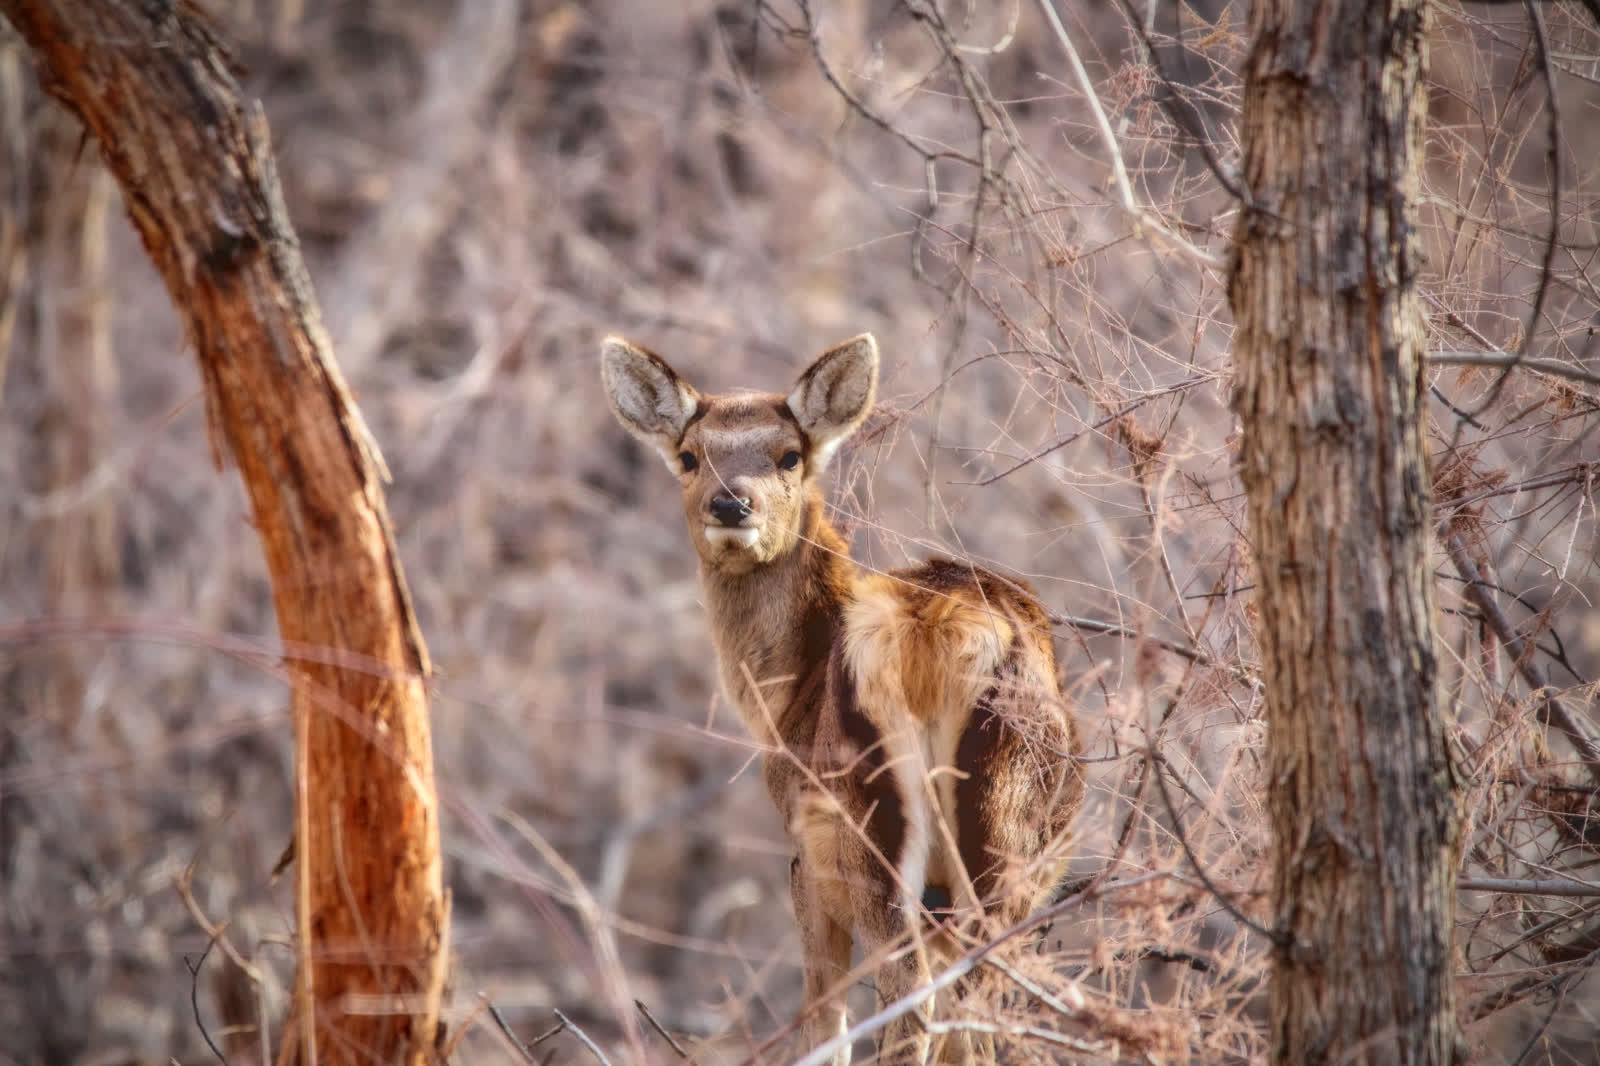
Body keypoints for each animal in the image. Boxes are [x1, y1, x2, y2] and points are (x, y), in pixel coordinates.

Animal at [600, 332, 1084, 1066]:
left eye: (789, 455)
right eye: (689, 455)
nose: (731, 504)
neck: (784, 699)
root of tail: (936, 632)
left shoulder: (805, 853)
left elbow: (823, 1014)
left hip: (869, 826)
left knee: (908, 993)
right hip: (1012, 826)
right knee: (977, 998)